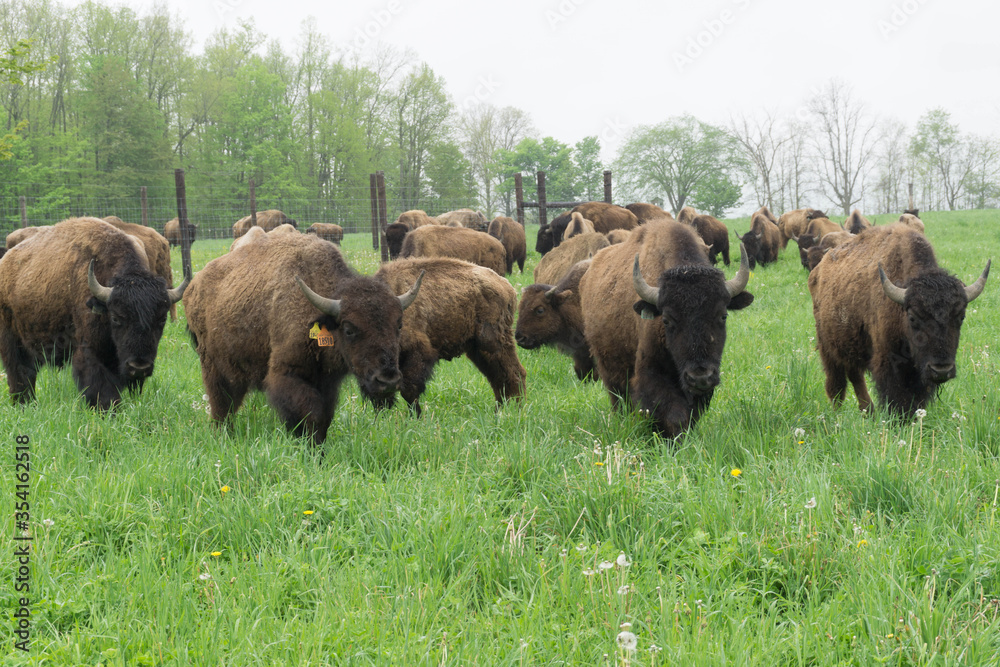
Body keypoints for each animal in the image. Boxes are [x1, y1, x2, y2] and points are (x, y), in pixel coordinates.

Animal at [0, 217, 187, 410]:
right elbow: (100, 385)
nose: (139, 367)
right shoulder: (91, 349)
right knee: (20, 372)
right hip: (11, 339)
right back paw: (23, 404)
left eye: (162, 319)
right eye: (116, 318)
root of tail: (6, 262)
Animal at [184, 230, 422, 444]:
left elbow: (324, 417)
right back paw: (223, 436)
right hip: (213, 367)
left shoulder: (327, 383)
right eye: (349, 329)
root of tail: (193, 287)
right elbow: (310, 413)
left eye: (399, 324)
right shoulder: (286, 375)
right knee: (222, 405)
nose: (388, 380)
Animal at [376, 258, 528, 414]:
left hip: (494, 344)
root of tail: (507, 286)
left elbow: (409, 390)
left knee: (515, 374)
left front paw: (416, 416)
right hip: (478, 350)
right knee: (498, 378)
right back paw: (499, 411)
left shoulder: (419, 353)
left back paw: (517, 410)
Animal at [580, 219, 752, 438]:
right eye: (667, 320)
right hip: (608, 367)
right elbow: (672, 414)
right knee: (619, 398)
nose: (700, 377)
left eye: (723, 315)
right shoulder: (652, 374)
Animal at [808, 227, 988, 420]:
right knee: (837, 385)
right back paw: (839, 415)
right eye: (913, 317)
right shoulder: (888, 361)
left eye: (961, 316)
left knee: (855, 376)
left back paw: (868, 411)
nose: (941, 370)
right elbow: (896, 397)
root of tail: (818, 270)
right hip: (828, 348)